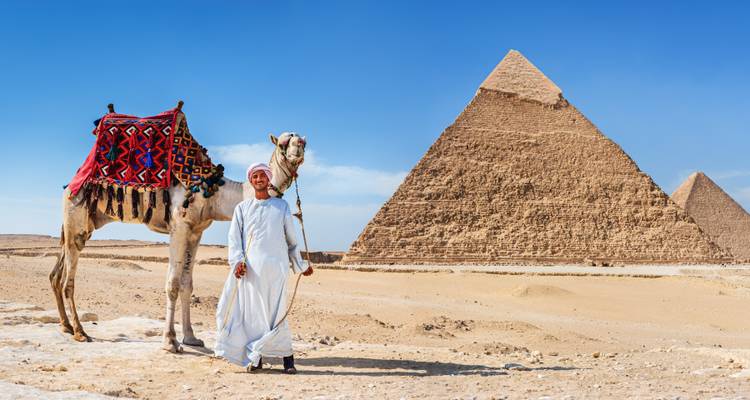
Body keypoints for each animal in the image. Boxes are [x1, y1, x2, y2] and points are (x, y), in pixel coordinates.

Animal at [50, 120, 306, 353]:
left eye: (303, 140)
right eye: (283, 143)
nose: (300, 147)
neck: (214, 191)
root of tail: (69, 185)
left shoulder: (196, 232)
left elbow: (186, 285)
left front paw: (191, 338)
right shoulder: (179, 227)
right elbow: (172, 284)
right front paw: (170, 341)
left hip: (84, 226)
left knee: (57, 273)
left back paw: (66, 326)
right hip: (75, 214)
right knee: (68, 280)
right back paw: (80, 332)